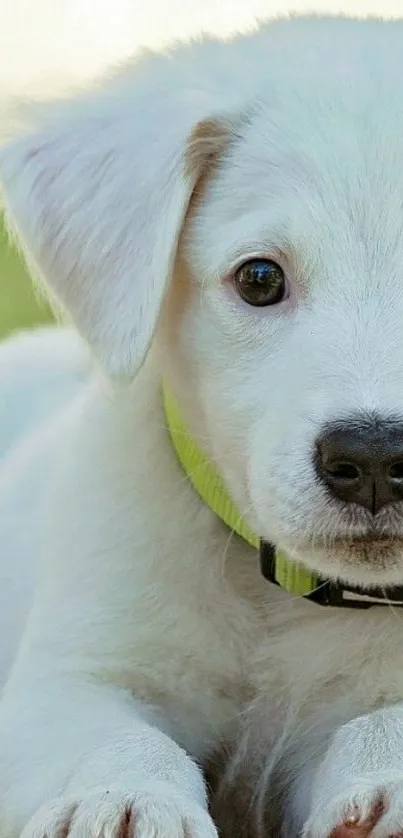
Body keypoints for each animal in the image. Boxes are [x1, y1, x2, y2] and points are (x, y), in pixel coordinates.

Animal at [2, 16, 403, 838]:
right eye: (260, 278)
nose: (377, 458)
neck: (282, 600)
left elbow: (384, 720)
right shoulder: (66, 679)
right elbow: (114, 735)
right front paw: (122, 797)